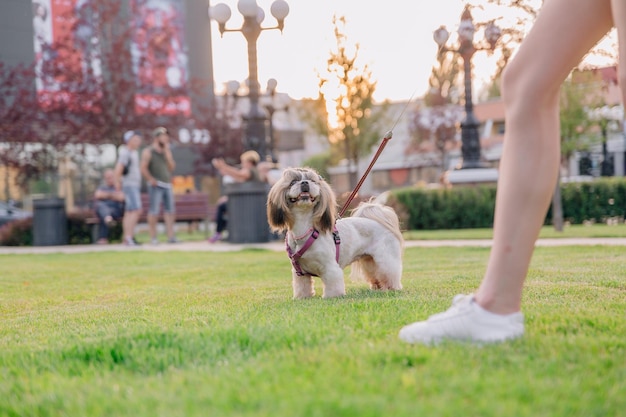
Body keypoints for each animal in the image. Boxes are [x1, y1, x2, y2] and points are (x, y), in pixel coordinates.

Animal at [266, 167, 402, 300]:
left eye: (313, 181)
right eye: (293, 182)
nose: (305, 182)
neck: (305, 229)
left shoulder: (330, 267)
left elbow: (333, 283)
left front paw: (332, 296)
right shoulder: (299, 272)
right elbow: (302, 286)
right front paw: (302, 297)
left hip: (385, 258)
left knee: (390, 271)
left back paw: (392, 287)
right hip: (369, 260)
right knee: (375, 273)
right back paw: (377, 286)